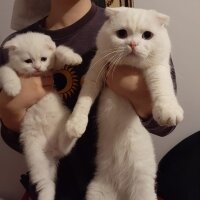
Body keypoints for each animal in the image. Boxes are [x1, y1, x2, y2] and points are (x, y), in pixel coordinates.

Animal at [0, 32, 82, 200]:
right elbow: (7, 72)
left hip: (59, 133)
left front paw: (73, 57)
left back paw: (73, 131)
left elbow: (59, 51)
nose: (37, 67)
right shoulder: (7, 67)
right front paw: (13, 87)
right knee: (45, 182)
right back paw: (46, 195)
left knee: (65, 146)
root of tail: (52, 151)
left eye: (43, 59)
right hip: (35, 156)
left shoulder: (52, 67)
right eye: (28, 61)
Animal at [65, 7, 183, 200]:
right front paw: (75, 124)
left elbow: (162, 86)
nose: (133, 44)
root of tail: (121, 190)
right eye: (122, 34)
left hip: (143, 192)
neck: (130, 67)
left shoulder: (158, 67)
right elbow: (83, 100)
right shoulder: (95, 73)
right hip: (96, 193)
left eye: (147, 35)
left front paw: (168, 110)